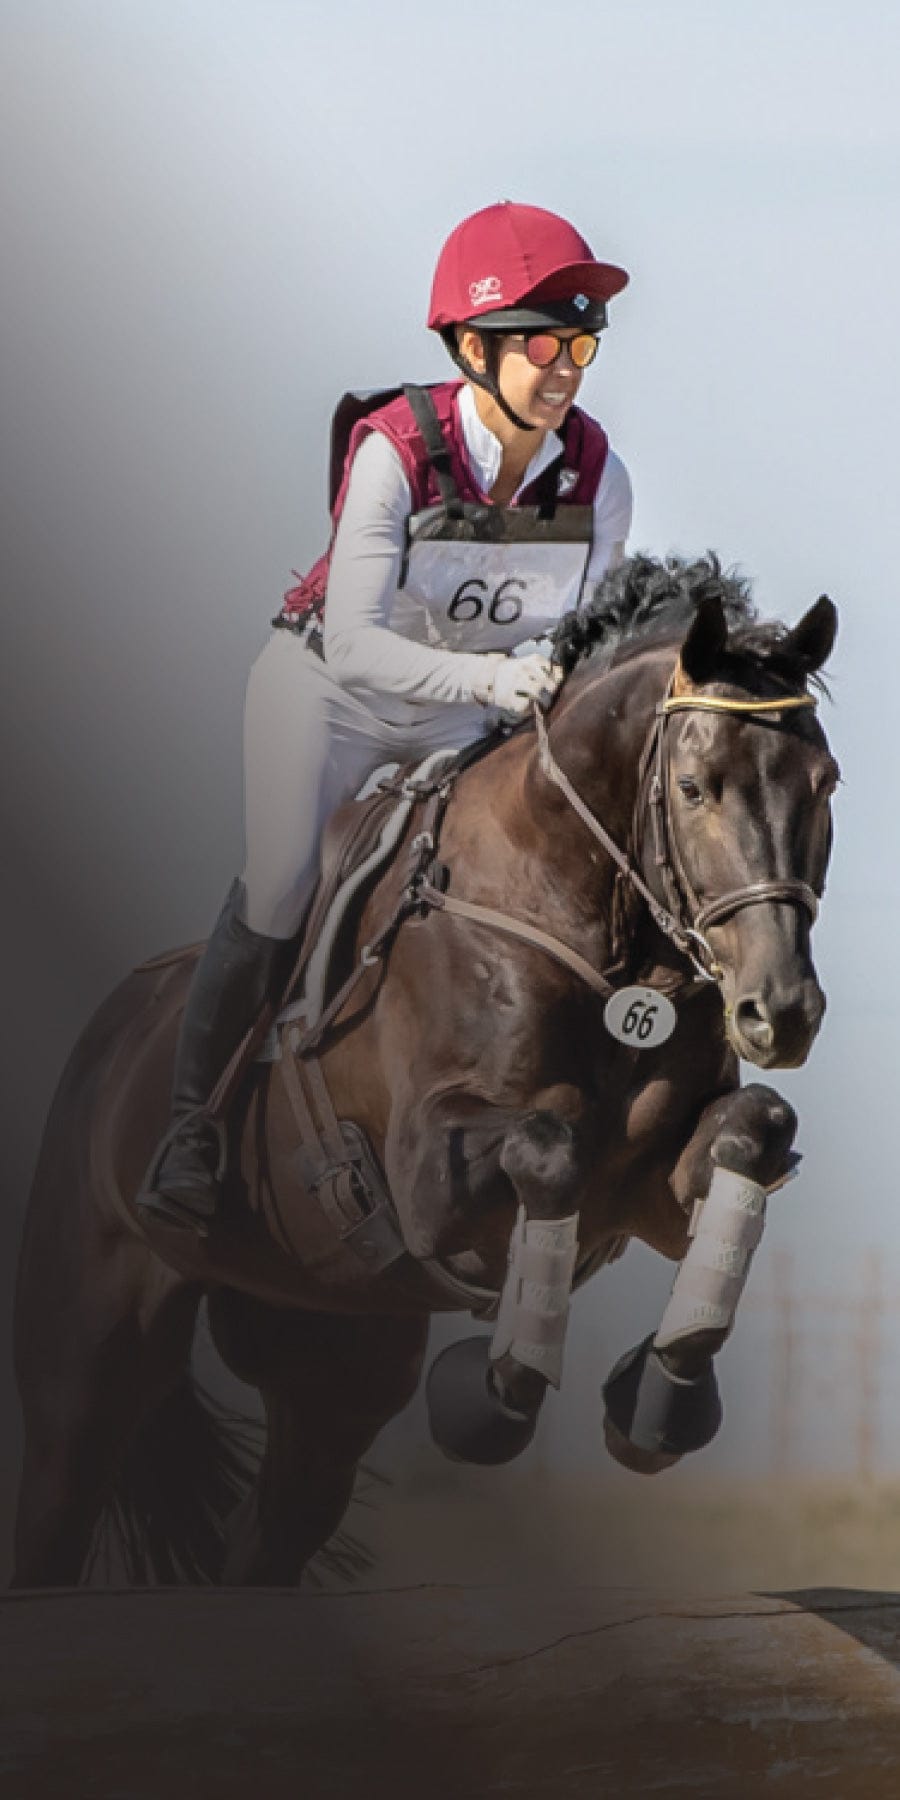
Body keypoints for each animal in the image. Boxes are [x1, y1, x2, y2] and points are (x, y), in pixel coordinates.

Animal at [12, 555, 839, 1588]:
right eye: (693, 787)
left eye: (826, 784)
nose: (782, 1010)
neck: (589, 925)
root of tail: (106, 1034)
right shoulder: (427, 1180)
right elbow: (550, 1147)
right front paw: (495, 1399)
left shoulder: (645, 1188)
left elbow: (751, 1131)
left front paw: (666, 1393)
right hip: (83, 1361)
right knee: (55, 1506)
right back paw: (185, 1170)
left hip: (329, 1354)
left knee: (266, 1540)